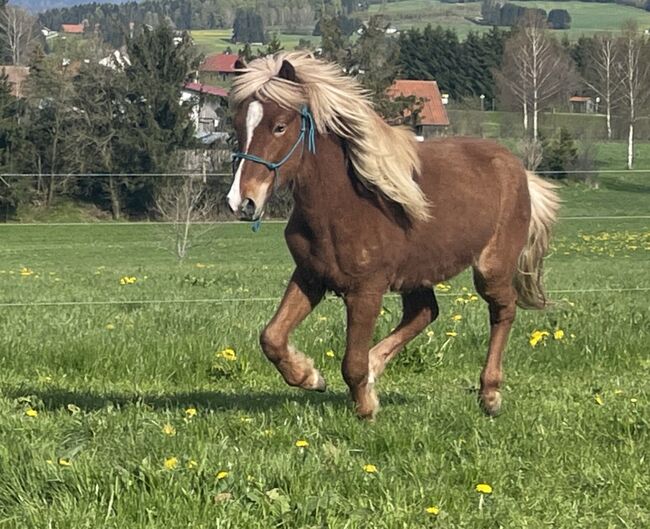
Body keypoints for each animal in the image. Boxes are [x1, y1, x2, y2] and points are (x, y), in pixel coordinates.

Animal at [224, 52, 556, 416]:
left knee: (503, 310)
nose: (242, 201)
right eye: (238, 125)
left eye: (280, 126)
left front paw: (366, 406)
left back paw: (490, 394)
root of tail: (519, 169)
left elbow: (351, 362)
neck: (343, 205)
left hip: (491, 268)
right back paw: (377, 368)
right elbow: (271, 338)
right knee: (424, 312)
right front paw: (311, 376)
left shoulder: (366, 290)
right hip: (418, 274)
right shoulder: (311, 276)